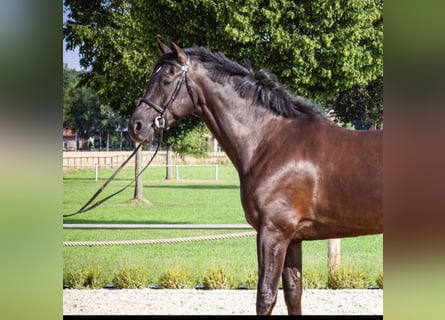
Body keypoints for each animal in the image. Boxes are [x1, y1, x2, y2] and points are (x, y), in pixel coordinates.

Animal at [128, 40, 382, 316]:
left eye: (166, 79)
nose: (136, 125)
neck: (271, 140)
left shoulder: (273, 232)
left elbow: (266, 296)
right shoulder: (293, 238)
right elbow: (293, 293)